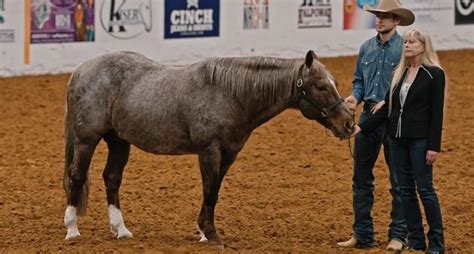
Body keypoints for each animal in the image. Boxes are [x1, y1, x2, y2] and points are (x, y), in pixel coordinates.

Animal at [64, 50, 356, 246]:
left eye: (334, 83)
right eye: (320, 86)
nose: (348, 123)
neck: (231, 94)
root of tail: (80, 70)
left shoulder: (229, 153)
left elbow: (213, 190)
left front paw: (205, 232)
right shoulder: (210, 150)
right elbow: (210, 190)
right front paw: (212, 234)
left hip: (119, 141)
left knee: (112, 178)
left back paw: (121, 230)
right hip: (86, 140)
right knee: (76, 176)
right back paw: (72, 229)